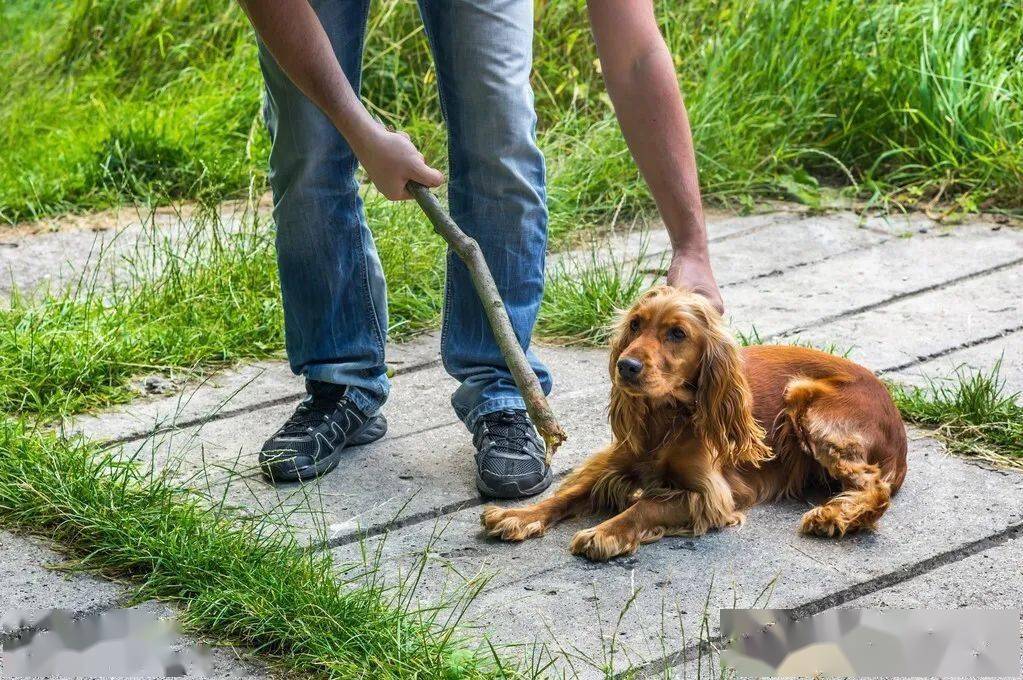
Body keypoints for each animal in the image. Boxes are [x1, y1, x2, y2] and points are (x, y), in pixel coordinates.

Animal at [482, 284, 908, 560]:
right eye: (635, 325)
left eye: (677, 333)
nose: (626, 366)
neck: (666, 418)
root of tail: (897, 423)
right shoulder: (616, 462)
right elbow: (568, 493)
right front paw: (518, 515)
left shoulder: (711, 495)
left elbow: (646, 505)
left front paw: (604, 532)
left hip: (808, 404)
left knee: (875, 488)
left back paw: (833, 515)